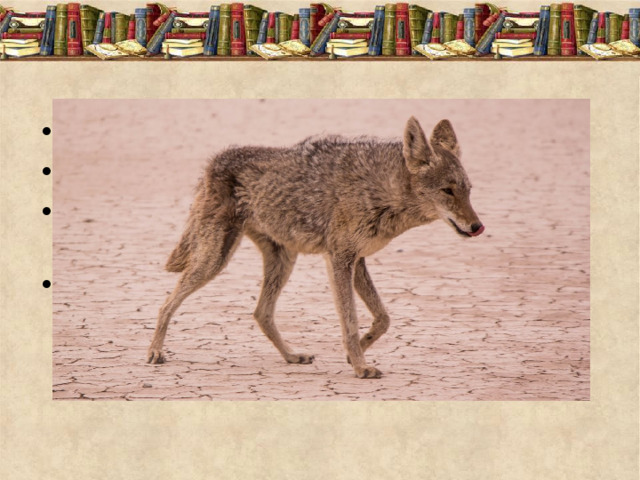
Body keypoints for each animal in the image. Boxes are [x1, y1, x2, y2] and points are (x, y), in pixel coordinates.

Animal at [147, 117, 484, 378]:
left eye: (468, 191)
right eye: (447, 191)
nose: (477, 226)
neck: (381, 190)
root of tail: (214, 160)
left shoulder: (356, 260)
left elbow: (383, 319)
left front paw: (355, 354)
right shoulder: (340, 259)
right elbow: (350, 322)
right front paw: (360, 367)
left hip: (283, 262)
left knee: (261, 313)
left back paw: (291, 356)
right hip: (215, 261)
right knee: (166, 302)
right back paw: (154, 352)